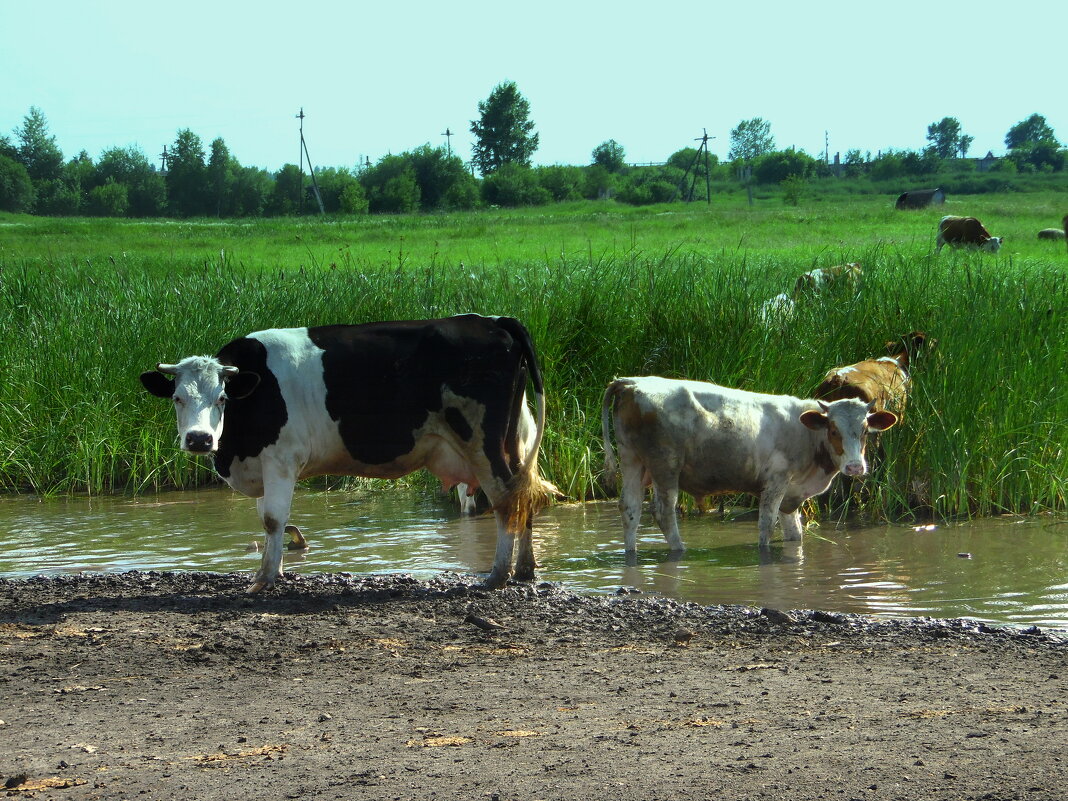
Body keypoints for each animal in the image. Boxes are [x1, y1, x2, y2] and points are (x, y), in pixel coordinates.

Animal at [602, 375, 892, 551]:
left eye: (865, 430)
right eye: (833, 430)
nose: (855, 467)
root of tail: (632, 382)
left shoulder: (792, 491)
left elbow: (794, 530)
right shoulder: (776, 480)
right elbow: (767, 522)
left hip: (631, 460)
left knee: (630, 509)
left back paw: (631, 554)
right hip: (665, 465)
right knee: (663, 511)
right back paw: (679, 551)